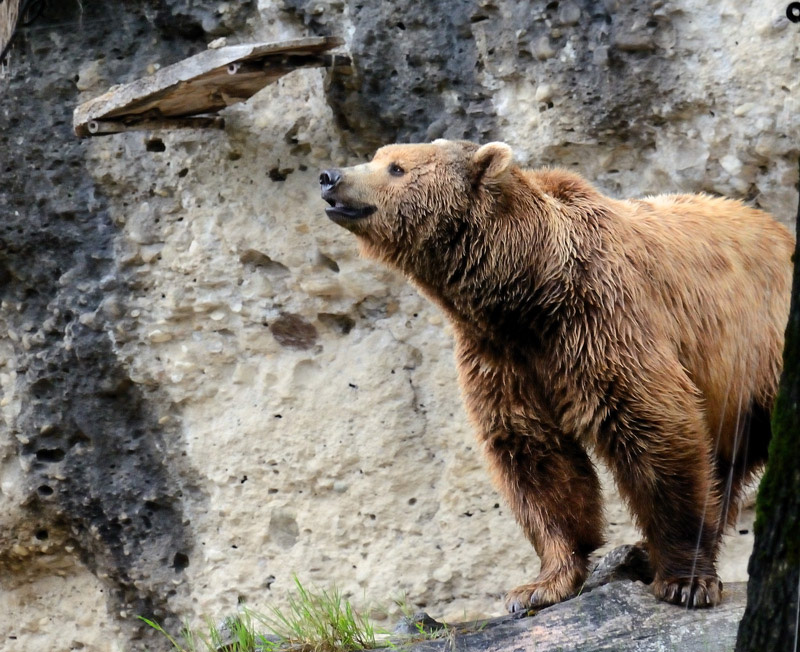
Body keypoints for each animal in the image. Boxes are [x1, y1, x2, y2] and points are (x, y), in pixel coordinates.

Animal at [318, 139, 792, 612]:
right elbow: (535, 457)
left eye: (397, 167)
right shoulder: (502, 358)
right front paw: (538, 585)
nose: (329, 176)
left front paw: (685, 581)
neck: (529, 288)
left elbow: (655, 429)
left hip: (763, 352)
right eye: (379, 156)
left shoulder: (603, 318)